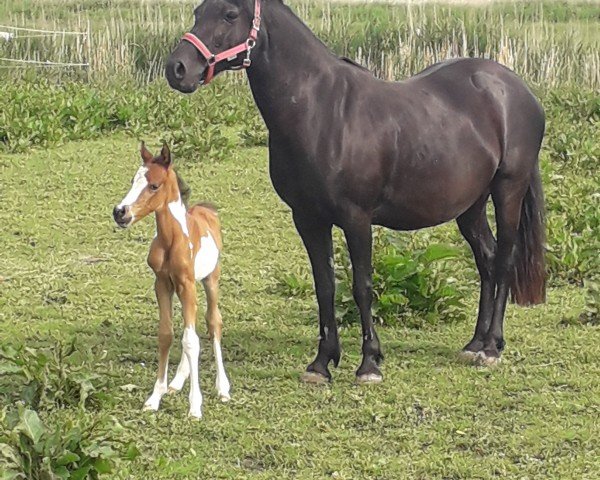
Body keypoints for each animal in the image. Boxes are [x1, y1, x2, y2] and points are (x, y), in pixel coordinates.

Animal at [112, 141, 230, 418]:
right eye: (132, 180)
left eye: (154, 185)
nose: (120, 212)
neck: (172, 239)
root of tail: (207, 210)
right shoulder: (162, 284)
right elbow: (167, 334)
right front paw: (155, 397)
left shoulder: (187, 284)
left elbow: (191, 340)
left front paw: (195, 406)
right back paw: (177, 381)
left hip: (210, 280)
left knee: (213, 323)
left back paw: (223, 388)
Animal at [164, 0, 544, 382]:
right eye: (197, 11)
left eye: (229, 14)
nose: (177, 68)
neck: (321, 111)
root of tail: (516, 88)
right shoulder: (308, 219)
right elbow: (325, 285)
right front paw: (321, 364)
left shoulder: (356, 218)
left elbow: (362, 285)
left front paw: (369, 363)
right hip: (470, 206)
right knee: (487, 259)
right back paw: (475, 343)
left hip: (508, 189)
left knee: (504, 258)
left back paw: (492, 347)